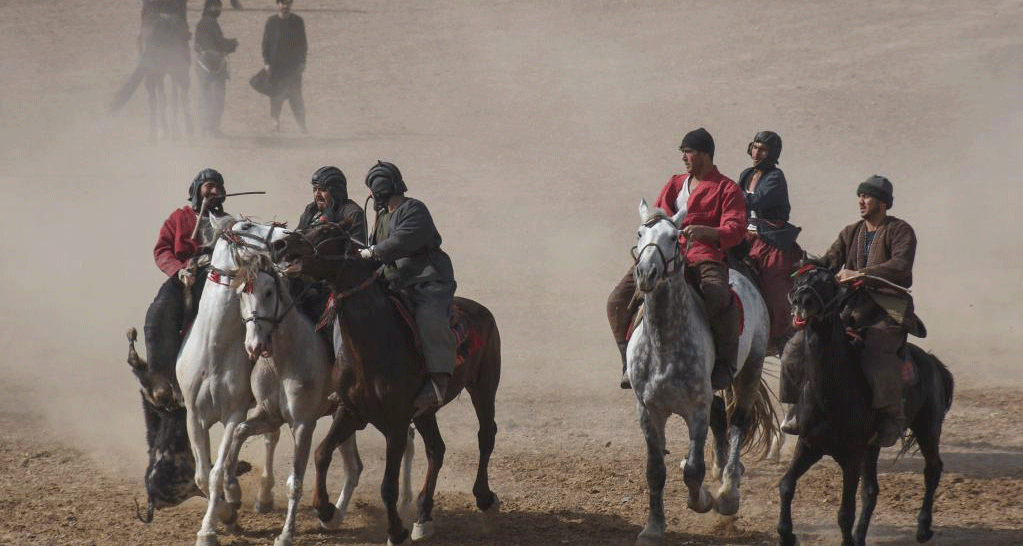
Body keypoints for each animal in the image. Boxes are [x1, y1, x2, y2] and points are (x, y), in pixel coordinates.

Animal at [274, 222, 501, 546]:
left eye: (325, 230)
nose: (280, 245)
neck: (375, 340)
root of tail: (483, 312)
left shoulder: (396, 424)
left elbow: (388, 486)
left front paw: (395, 531)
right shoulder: (350, 412)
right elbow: (321, 454)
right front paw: (327, 510)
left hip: (484, 386)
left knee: (485, 435)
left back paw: (483, 497)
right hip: (426, 412)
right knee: (436, 449)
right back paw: (423, 516)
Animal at [630, 201, 773, 546]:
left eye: (674, 237)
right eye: (640, 233)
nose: (646, 273)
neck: (664, 342)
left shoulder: (695, 408)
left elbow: (693, 470)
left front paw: (704, 500)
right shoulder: (648, 411)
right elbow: (655, 470)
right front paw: (653, 527)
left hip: (750, 370)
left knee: (738, 422)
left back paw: (728, 491)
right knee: (721, 414)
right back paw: (721, 472)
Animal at [777, 265, 953, 546]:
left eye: (829, 282)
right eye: (800, 280)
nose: (802, 302)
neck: (831, 391)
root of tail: (932, 362)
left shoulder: (851, 456)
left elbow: (845, 512)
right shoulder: (809, 445)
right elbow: (786, 485)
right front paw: (786, 534)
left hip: (928, 429)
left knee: (933, 469)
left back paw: (923, 528)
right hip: (873, 448)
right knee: (871, 490)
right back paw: (861, 536)